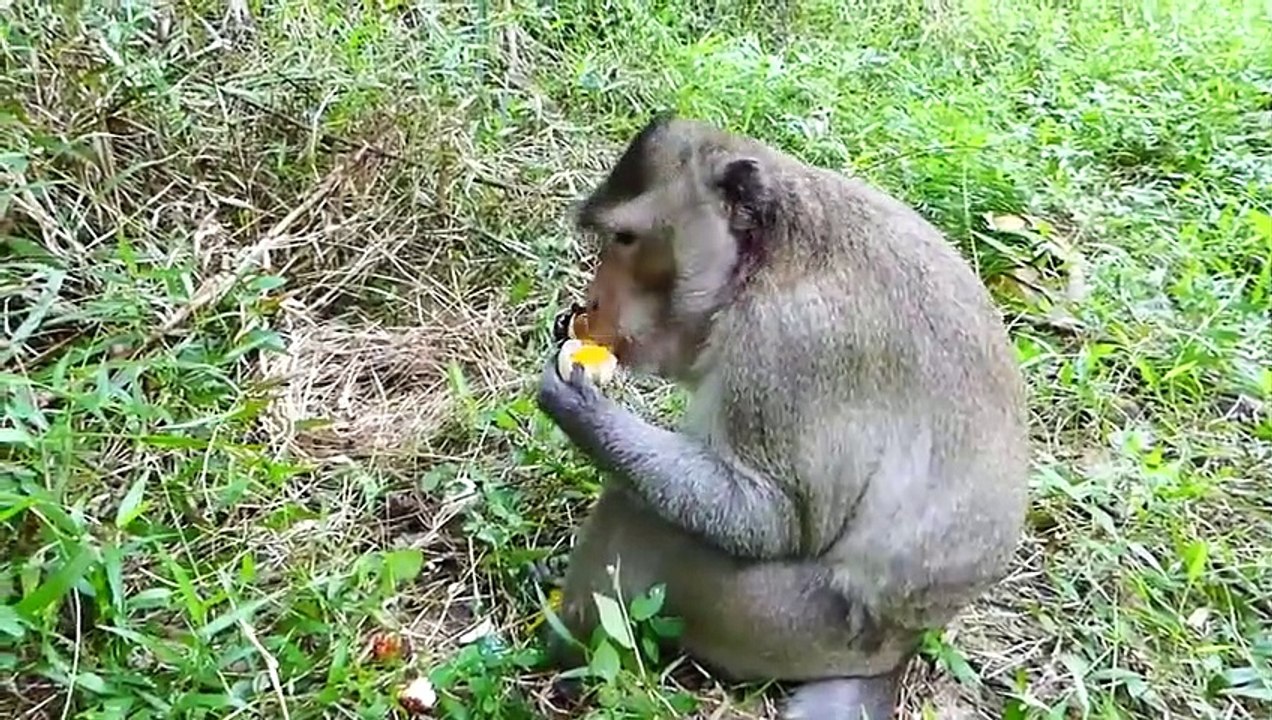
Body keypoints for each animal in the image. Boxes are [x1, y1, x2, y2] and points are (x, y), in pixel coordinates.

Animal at [535, 114, 1030, 720]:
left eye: (626, 240)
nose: (591, 303)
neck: (768, 261)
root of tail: (904, 643)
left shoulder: (788, 346)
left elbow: (777, 517)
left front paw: (579, 409)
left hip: (790, 626)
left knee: (637, 515)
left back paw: (564, 651)